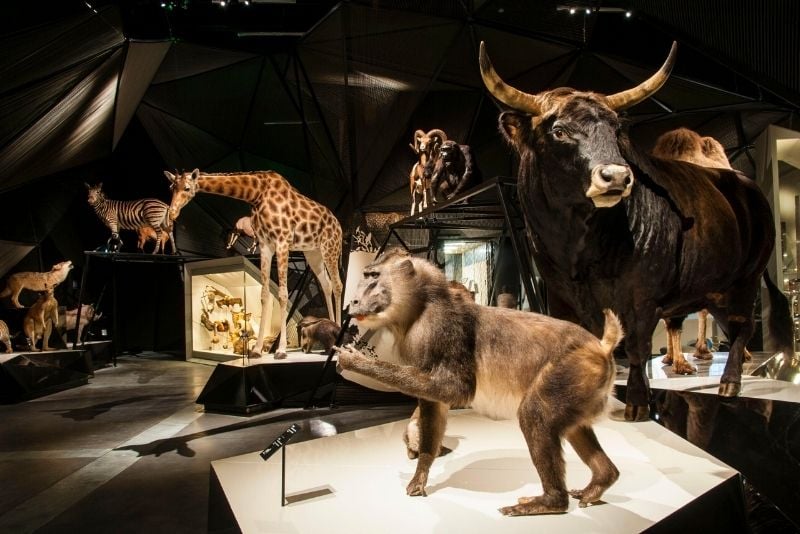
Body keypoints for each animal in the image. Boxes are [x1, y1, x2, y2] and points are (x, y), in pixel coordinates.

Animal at [166, 169, 344, 360]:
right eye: (171, 188)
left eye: (187, 188)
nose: (172, 213)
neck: (257, 194)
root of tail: (339, 225)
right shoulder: (266, 245)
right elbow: (264, 295)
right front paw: (256, 350)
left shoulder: (282, 242)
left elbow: (282, 295)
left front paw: (281, 350)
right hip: (313, 253)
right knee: (327, 285)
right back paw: (331, 324)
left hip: (330, 248)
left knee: (338, 284)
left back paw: (338, 335)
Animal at [334, 251, 620, 520]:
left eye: (373, 276)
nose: (353, 302)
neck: (421, 304)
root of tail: (600, 347)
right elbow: (434, 403)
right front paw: (420, 475)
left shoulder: (442, 328)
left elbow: (455, 389)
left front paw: (353, 361)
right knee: (574, 428)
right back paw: (600, 481)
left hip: (573, 369)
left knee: (535, 414)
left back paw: (552, 502)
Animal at [478, 42, 792, 422]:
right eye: (559, 131)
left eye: (615, 130)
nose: (616, 176)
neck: (578, 248)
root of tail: (745, 184)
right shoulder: (561, 296)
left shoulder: (642, 297)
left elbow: (638, 347)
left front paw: (638, 401)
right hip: (715, 288)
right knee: (731, 327)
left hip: (747, 279)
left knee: (743, 326)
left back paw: (730, 383)